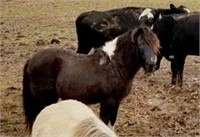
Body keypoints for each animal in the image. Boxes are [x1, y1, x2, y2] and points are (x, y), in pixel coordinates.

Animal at [21, 26, 160, 131]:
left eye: (155, 45)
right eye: (141, 44)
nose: (151, 65)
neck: (114, 64)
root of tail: (31, 60)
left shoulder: (116, 102)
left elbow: (112, 123)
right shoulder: (107, 102)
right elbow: (105, 123)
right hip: (44, 100)